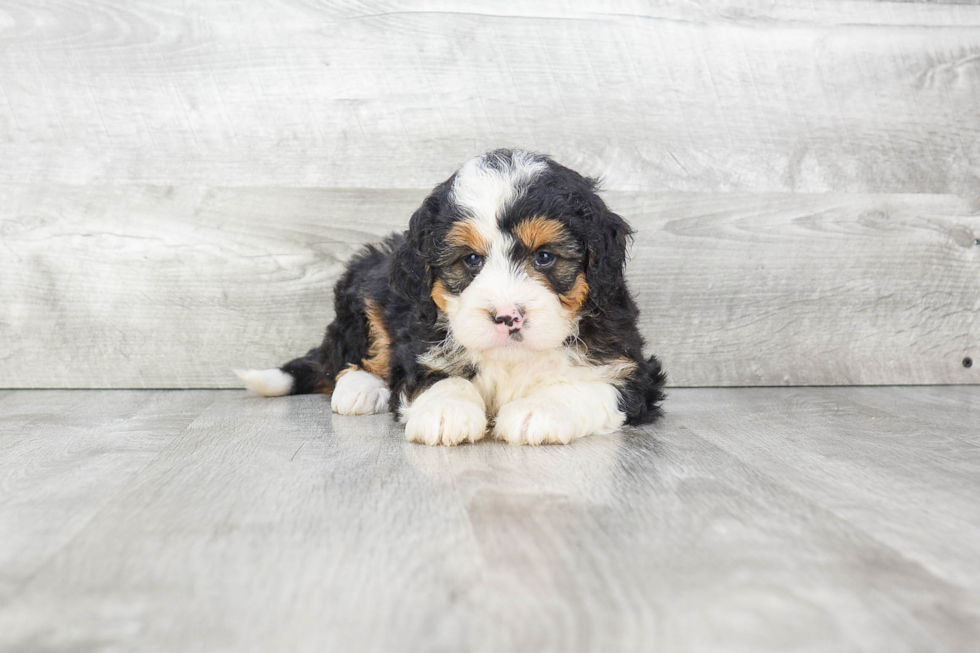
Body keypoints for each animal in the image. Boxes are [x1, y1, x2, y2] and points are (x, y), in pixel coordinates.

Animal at [237, 149, 668, 444]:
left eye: (544, 257)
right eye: (471, 259)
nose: (507, 316)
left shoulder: (630, 370)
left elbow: (587, 385)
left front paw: (538, 411)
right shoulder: (421, 345)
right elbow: (439, 377)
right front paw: (446, 412)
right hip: (367, 287)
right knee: (354, 354)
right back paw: (360, 388)